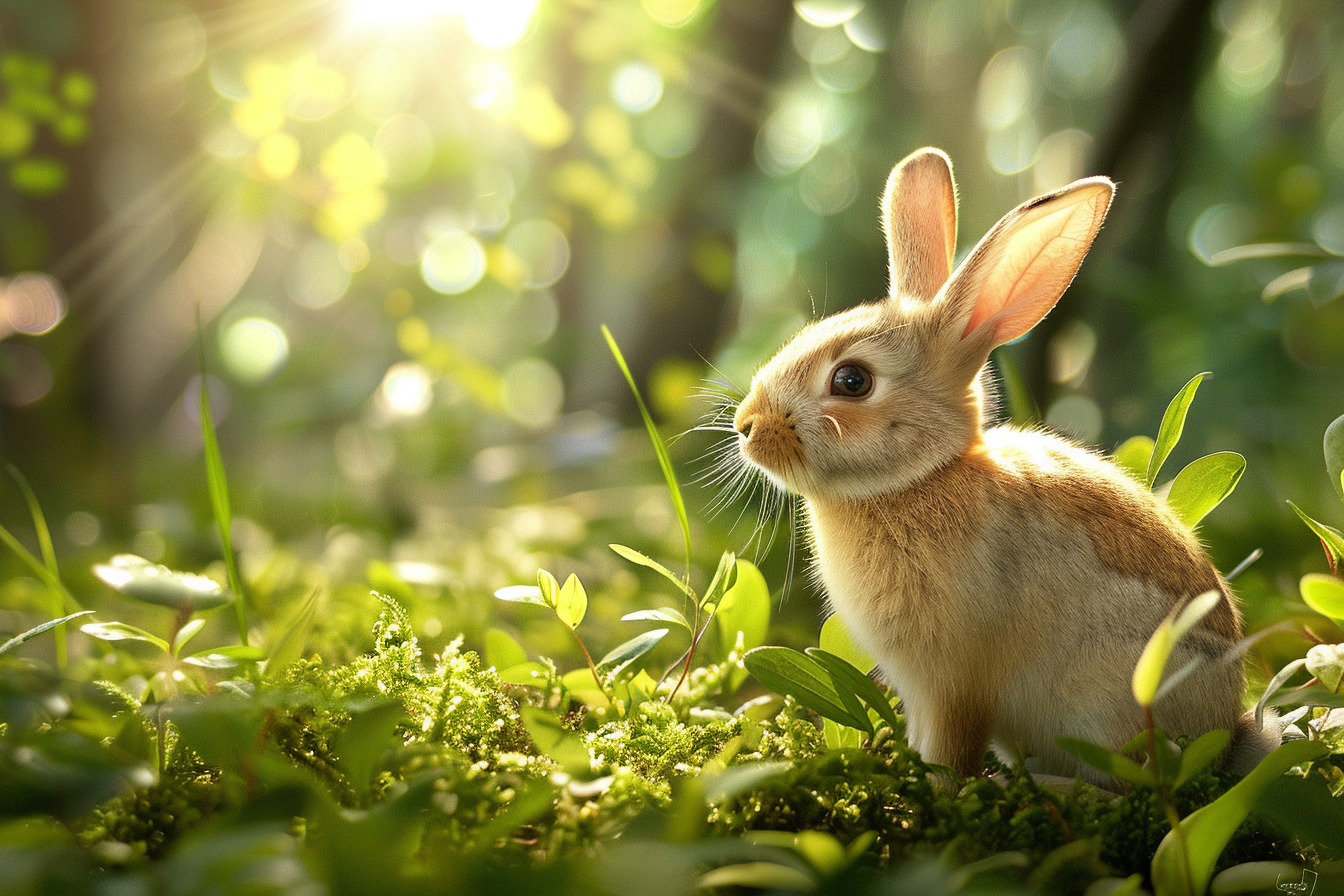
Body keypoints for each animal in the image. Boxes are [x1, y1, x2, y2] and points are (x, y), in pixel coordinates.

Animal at [731, 148, 1278, 783]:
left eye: (851, 381)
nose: (747, 426)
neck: (920, 478)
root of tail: (1224, 730)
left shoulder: (955, 680)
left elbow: (949, 748)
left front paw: (935, 789)